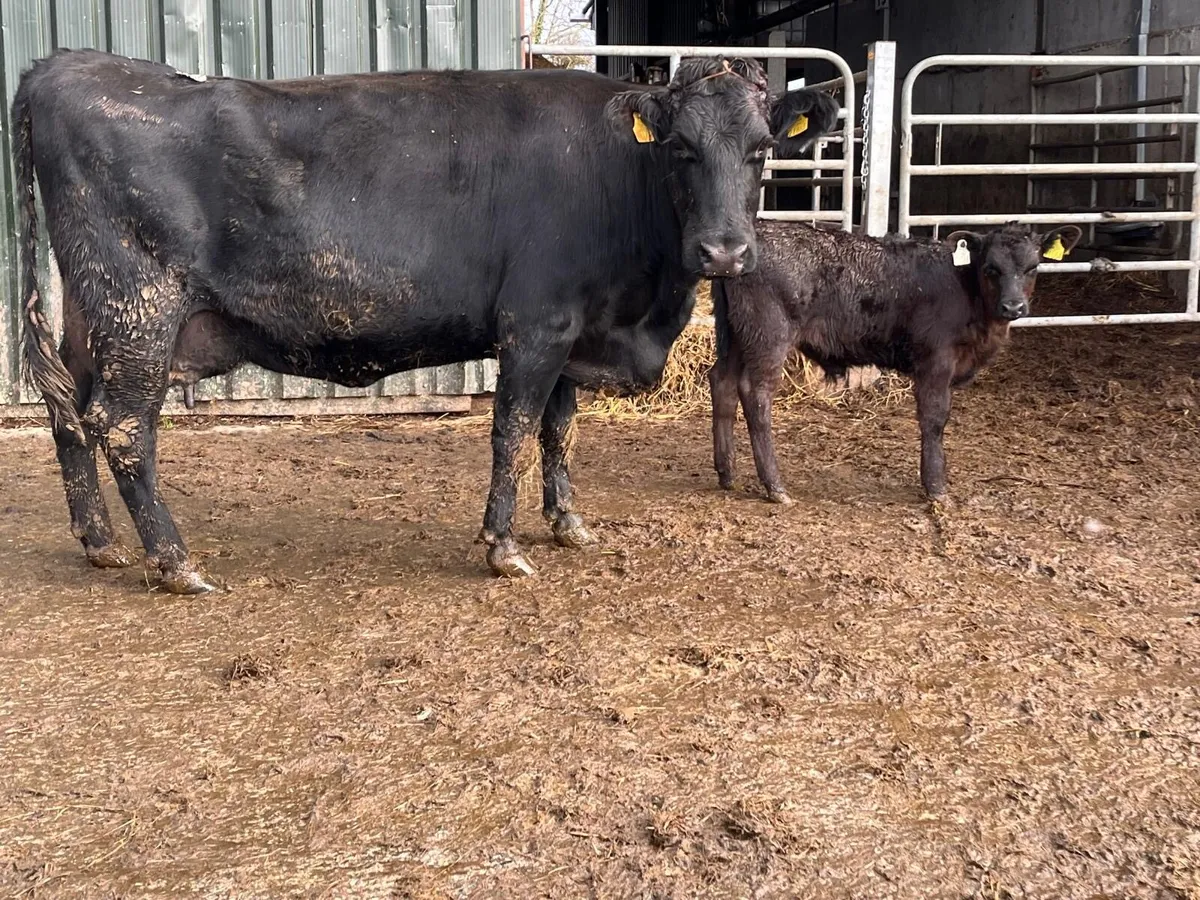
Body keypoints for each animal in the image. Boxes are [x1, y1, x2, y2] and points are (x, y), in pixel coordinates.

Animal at [14, 49, 838, 593]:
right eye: (681, 148)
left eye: (762, 150)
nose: (725, 251)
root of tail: (67, 65)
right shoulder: (536, 324)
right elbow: (513, 431)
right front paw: (503, 547)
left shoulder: (572, 331)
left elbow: (559, 430)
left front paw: (569, 524)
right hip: (138, 310)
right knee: (122, 426)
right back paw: (175, 562)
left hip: (92, 318)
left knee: (67, 413)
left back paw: (100, 544)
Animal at [708, 222, 1082, 504]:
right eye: (991, 268)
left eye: (1032, 268)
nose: (1013, 307)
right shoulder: (936, 361)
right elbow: (934, 419)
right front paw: (936, 488)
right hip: (768, 336)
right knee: (755, 394)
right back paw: (775, 486)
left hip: (737, 337)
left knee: (722, 382)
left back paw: (727, 473)